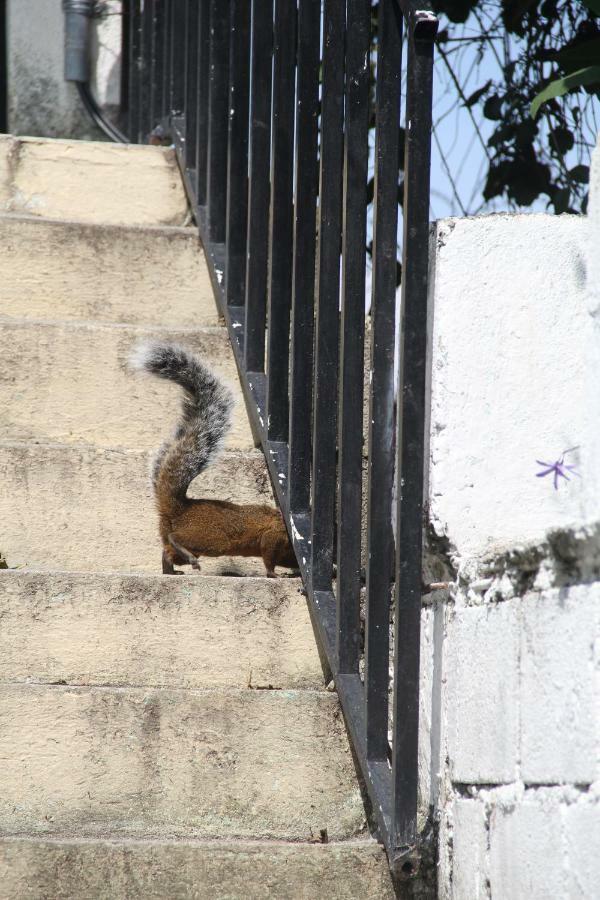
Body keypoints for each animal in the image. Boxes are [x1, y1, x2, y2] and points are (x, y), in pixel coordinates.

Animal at [132, 342, 298, 580]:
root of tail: (179, 509)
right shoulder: (273, 536)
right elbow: (268, 558)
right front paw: (274, 574)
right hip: (211, 539)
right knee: (176, 539)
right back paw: (185, 558)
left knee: (168, 552)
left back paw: (172, 570)